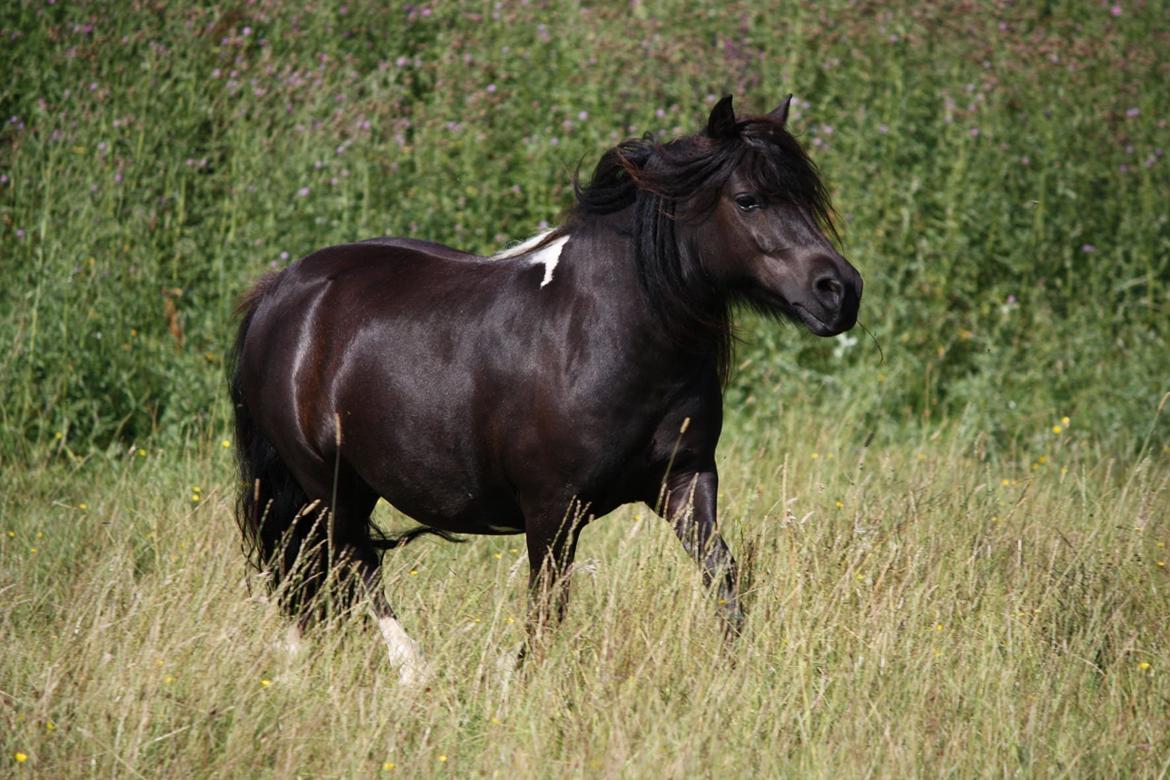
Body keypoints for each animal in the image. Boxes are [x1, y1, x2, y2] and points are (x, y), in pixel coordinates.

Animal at [232, 95, 865, 682]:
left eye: (807, 199)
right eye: (748, 200)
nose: (840, 290)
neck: (602, 334)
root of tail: (284, 290)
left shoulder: (686, 481)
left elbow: (722, 574)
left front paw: (740, 669)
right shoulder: (553, 507)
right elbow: (547, 608)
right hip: (326, 485)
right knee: (353, 563)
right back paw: (413, 670)